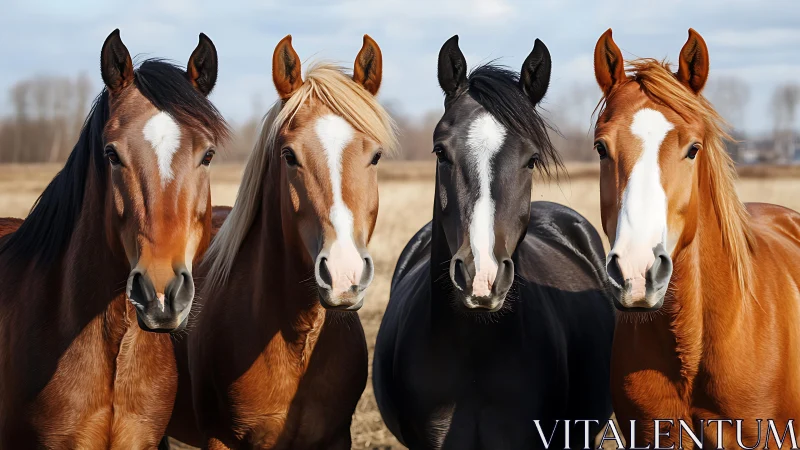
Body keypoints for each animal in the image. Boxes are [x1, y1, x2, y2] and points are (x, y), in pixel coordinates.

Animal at [170, 35, 398, 449]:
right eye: (289, 155)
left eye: (375, 156)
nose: (344, 275)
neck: (296, 341)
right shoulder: (221, 439)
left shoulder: (336, 438)